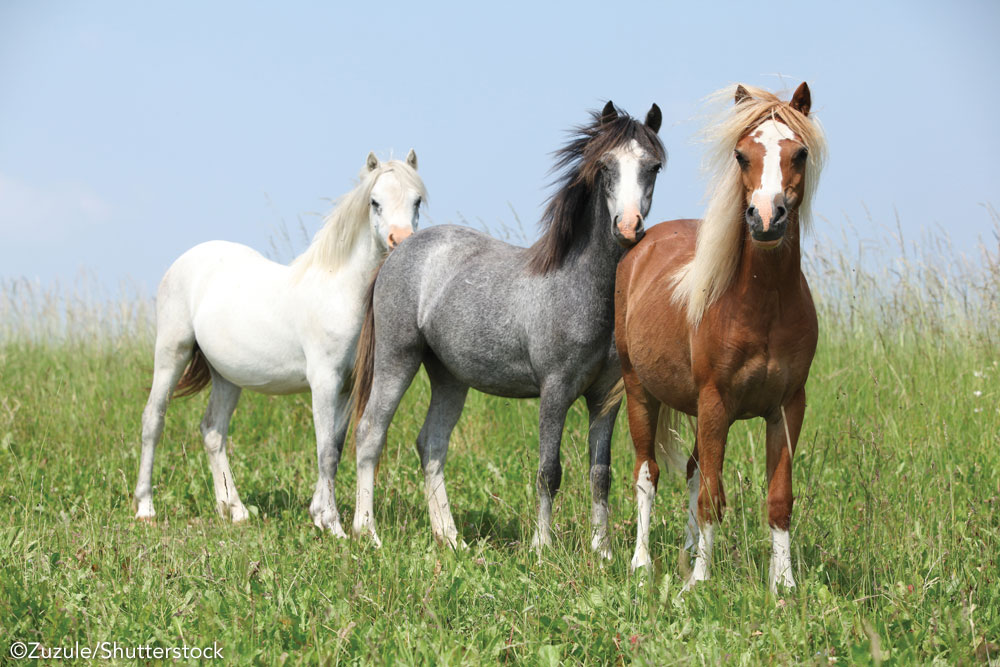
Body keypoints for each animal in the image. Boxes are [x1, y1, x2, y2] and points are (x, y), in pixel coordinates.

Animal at [136, 151, 426, 536]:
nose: (400, 240)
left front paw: (318, 515)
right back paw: (145, 507)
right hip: (172, 353)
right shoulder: (324, 382)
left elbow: (334, 446)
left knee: (213, 432)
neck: (339, 290)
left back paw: (234, 509)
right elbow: (325, 451)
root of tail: (187, 259)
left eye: (417, 200)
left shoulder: (346, 387)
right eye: (374, 202)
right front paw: (333, 525)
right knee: (153, 419)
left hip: (226, 376)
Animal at [352, 102, 664, 556]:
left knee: (431, 445)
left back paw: (451, 538)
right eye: (605, 166)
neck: (578, 288)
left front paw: (602, 550)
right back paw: (367, 533)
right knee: (370, 434)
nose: (627, 227)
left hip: (449, 377)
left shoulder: (605, 398)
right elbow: (549, 470)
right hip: (397, 359)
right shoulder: (555, 392)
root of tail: (400, 251)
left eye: (653, 166)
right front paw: (541, 547)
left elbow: (600, 473)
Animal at [616, 82, 828, 588]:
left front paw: (784, 585)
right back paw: (642, 564)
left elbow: (778, 499)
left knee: (693, 472)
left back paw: (685, 553)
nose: (766, 218)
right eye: (740, 154)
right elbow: (712, 495)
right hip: (640, 392)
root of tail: (641, 245)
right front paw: (698, 582)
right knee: (647, 473)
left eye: (800, 153)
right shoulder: (716, 403)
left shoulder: (787, 407)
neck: (762, 306)